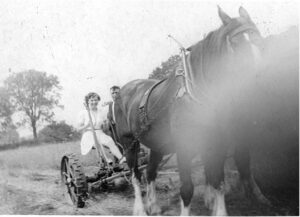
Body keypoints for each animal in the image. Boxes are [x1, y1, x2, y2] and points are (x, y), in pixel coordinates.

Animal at [114, 6, 270, 215]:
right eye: (236, 44)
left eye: (259, 39)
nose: (258, 79)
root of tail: (124, 90)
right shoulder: (184, 146)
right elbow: (187, 188)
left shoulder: (216, 142)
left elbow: (217, 180)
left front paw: (217, 208)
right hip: (129, 143)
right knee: (135, 176)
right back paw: (140, 208)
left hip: (157, 144)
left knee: (150, 171)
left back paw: (153, 205)